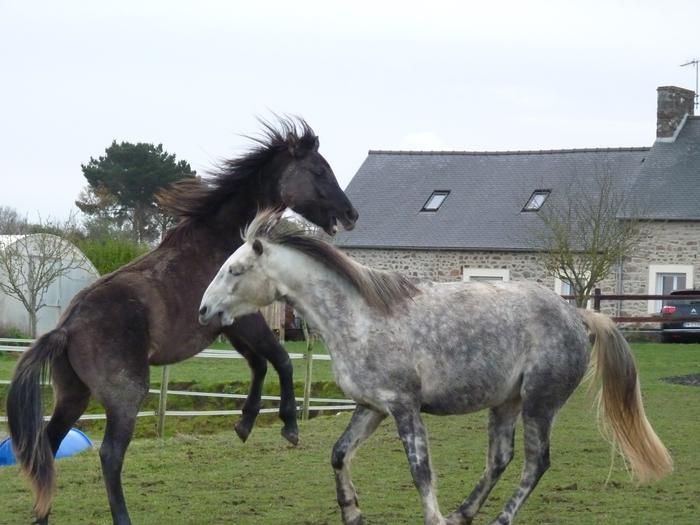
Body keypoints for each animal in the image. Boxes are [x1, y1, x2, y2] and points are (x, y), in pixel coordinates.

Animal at [6, 119, 358, 525]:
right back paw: (122, 517)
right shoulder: (244, 319)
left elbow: (258, 365)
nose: (350, 214)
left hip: (73, 395)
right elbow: (281, 360)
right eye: (319, 170)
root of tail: (66, 328)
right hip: (125, 397)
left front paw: (245, 423)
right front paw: (289, 426)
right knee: (109, 455)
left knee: (48, 448)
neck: (224, 242)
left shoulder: (226, 326)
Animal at [198, 210, 673, 525]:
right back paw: (464, 513)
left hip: (540, 403)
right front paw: (353, 512)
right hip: (506, 403)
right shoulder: (371, 407)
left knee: (534, 464)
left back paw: (498, 518)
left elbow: (421, 473)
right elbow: (338, 453)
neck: (359, 318)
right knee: (501, 458)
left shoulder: (404, 407)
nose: (203, 310)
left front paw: (432, 518)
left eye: (235, 270)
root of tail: (578, 316)